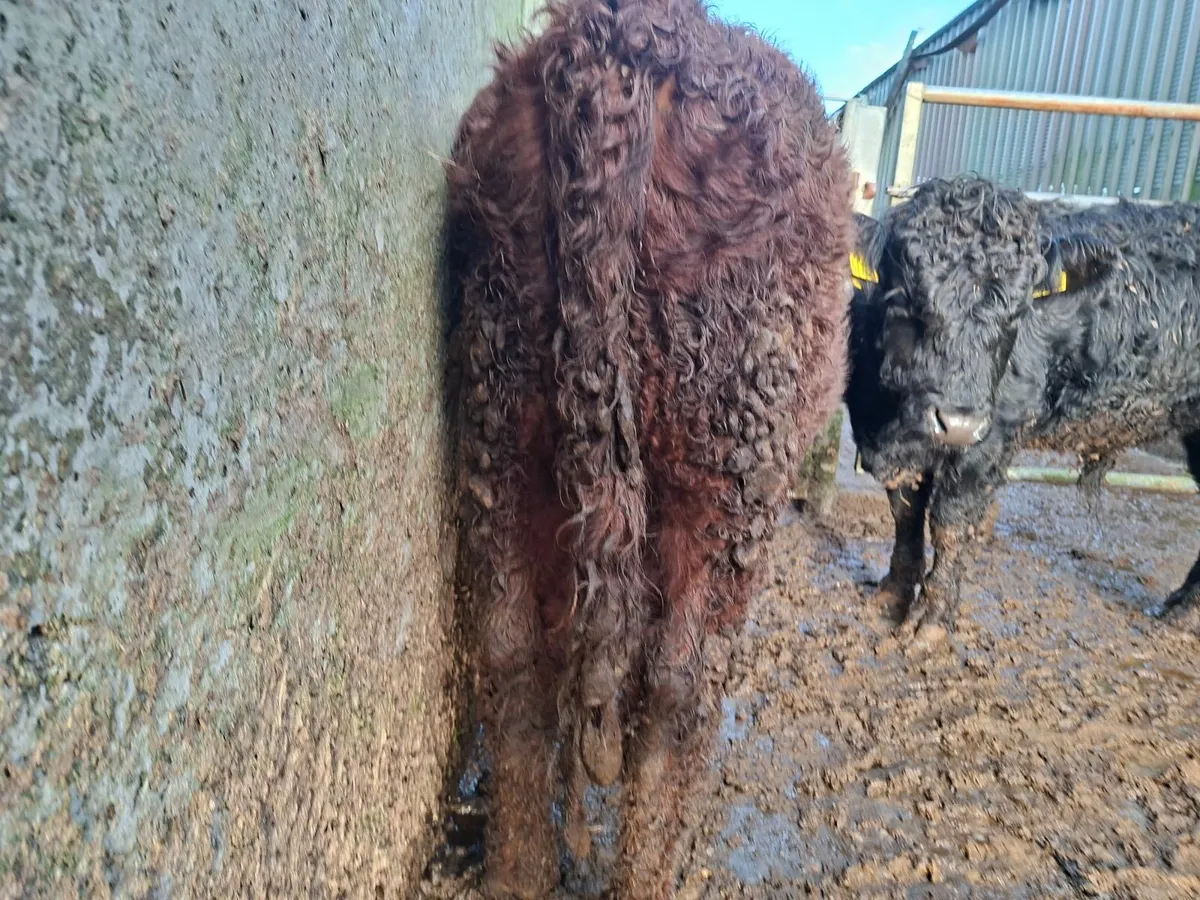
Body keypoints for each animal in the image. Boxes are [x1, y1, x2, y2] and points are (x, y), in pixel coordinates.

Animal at [444, 0, 853, 896]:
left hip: (501, 409)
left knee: (514, 654)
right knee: (678, 685)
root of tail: (624, 40)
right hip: (729, 459)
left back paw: (519, 872)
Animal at [845, 177, 1200, 643]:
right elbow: (904, 514)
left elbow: (951, 523)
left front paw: (931, 622)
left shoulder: (990, 439)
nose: (959, 424)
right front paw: (891, 597)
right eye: (905, 299)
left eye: (1019, 312)